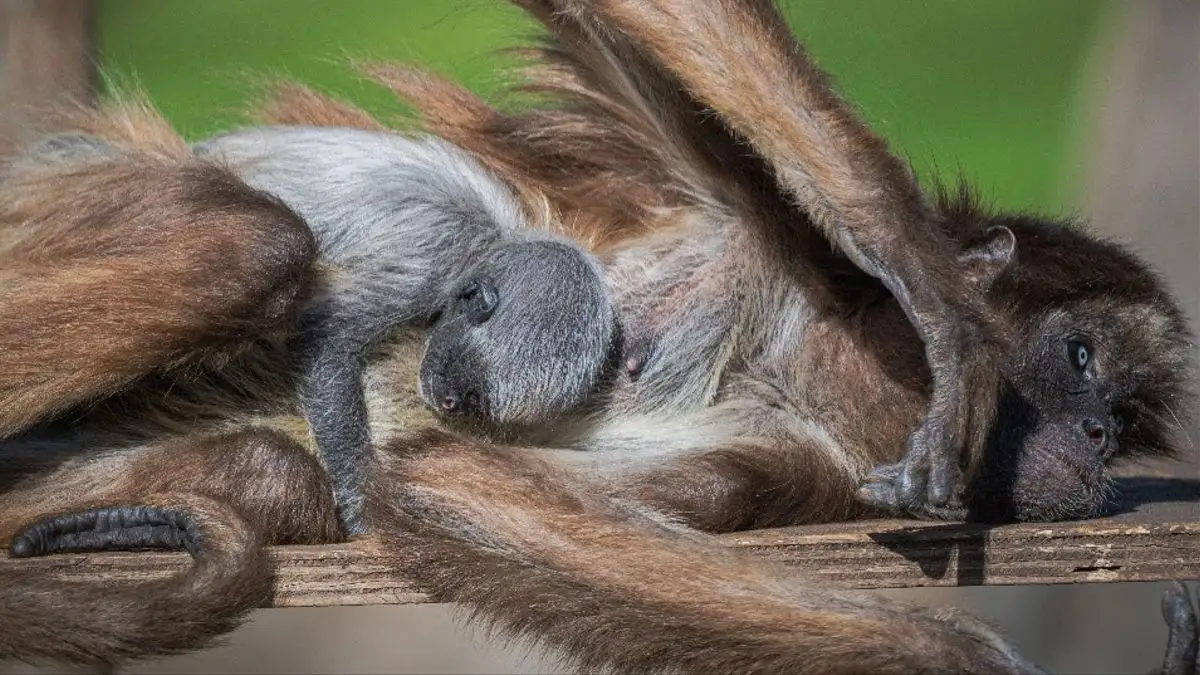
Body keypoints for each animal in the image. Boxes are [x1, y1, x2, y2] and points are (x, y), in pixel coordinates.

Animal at [0, 0, 1196, 668]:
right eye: (1081, 360)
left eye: (1126, 413)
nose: (1098, 437)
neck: (798, 367)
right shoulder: (753, 227)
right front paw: (937, 295)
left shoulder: (813, 468)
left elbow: (453, 488)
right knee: (246, 246)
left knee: (267, 463)